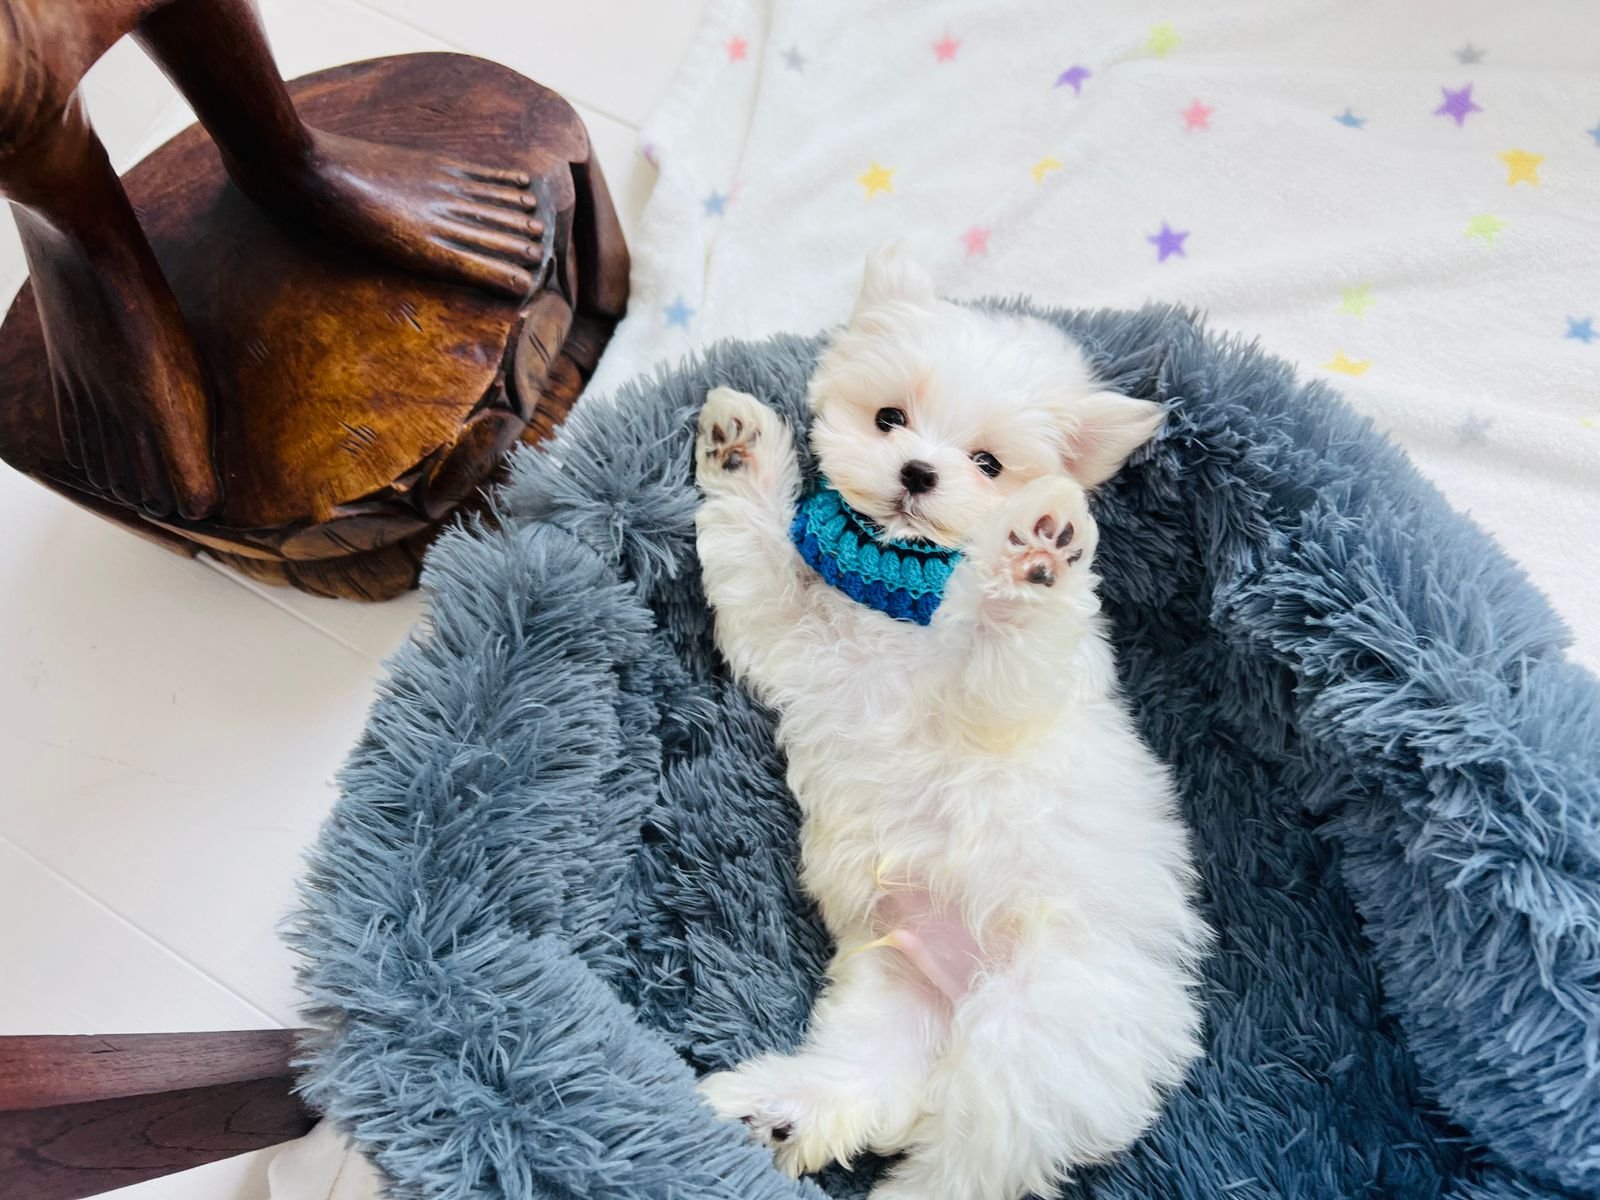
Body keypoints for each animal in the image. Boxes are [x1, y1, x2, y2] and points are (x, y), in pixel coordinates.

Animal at [693, 246, 1209, 1200]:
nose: (917, 473)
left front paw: (1034, 555)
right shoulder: (787, 632)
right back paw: (775, 1111)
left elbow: (1002, 660)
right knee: (870, 1082)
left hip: (1034, 1036)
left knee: (969, 1159)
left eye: (989, 463)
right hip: (901, 994)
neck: (898, 583)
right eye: (891, 417)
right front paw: (740, 451)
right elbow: (753, 557)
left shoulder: (1008, 697)